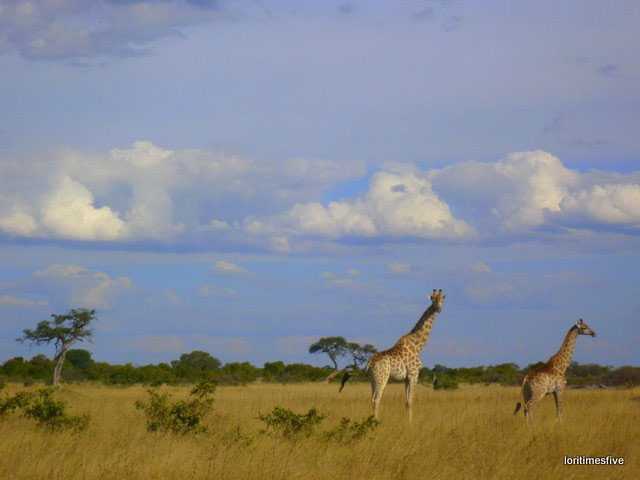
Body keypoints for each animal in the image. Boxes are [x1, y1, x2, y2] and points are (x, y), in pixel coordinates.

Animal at [360, 288, 444, 420]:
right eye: (433, 299)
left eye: (442, 299)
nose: (439, 309)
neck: (418, 346)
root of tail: (369, 363)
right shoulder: (414, 375)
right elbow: (411, 401)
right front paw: (411, 423)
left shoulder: (406, 378)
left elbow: (406, 401)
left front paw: (407, 421)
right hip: (382, 378)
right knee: (377, 400)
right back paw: (376, 421)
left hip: (372, 379)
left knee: (372, 399)